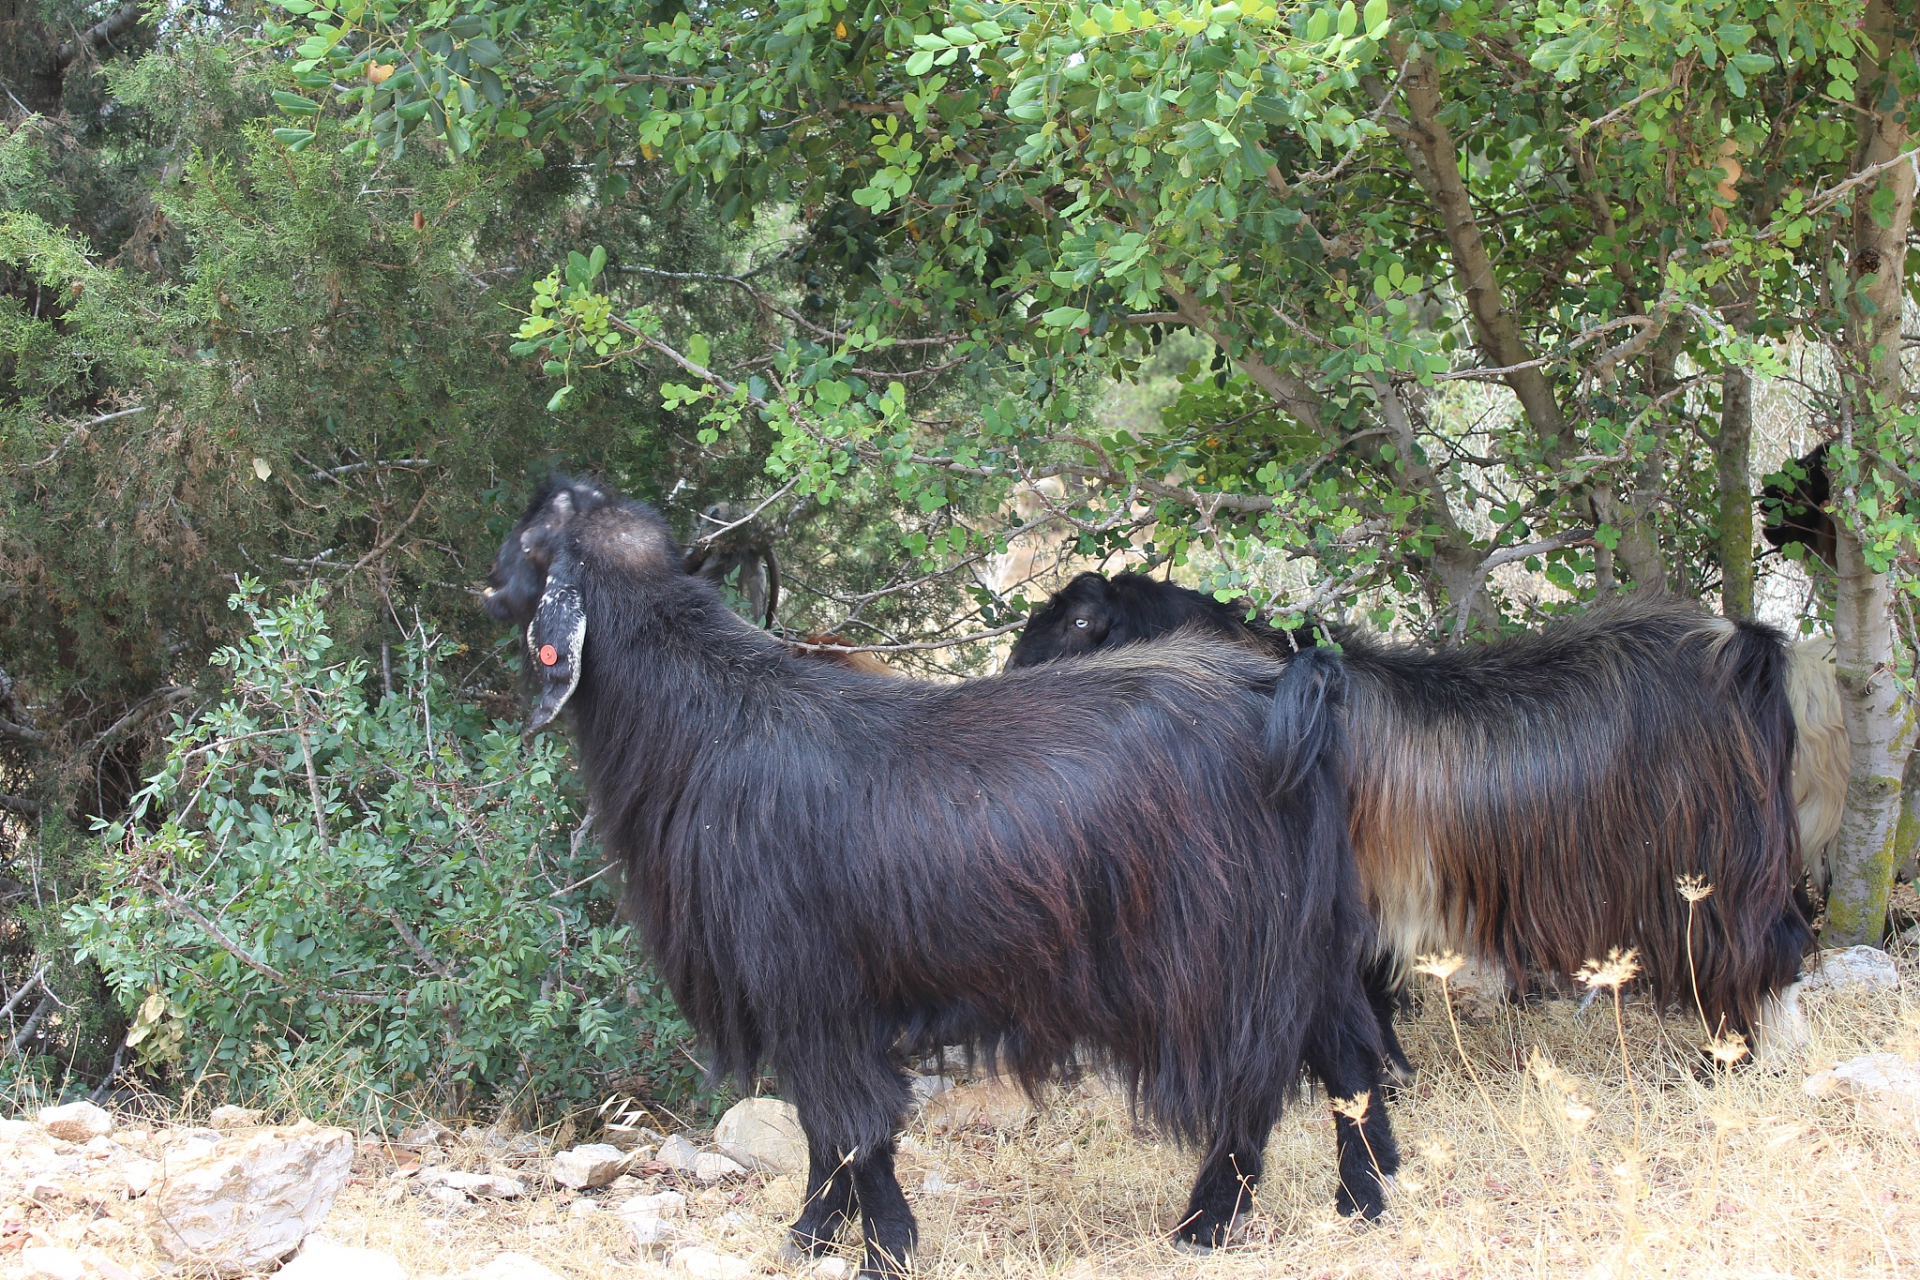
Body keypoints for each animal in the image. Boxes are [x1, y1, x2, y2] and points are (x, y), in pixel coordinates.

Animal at [487, 477, 1405, 1274]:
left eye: (533, 538)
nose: (486, 591)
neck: (711, 718)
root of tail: (1276, 690)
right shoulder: (812, 1001)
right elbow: (823, 1132)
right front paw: (810, 1236)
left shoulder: (810, 987)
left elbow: (854, 1126)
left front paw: (884, 1251)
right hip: (1308, 940)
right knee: (1350, 1061)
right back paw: (1361, 1202)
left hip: (1224, 954)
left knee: (1255, 1091)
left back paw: (1206, 1223)